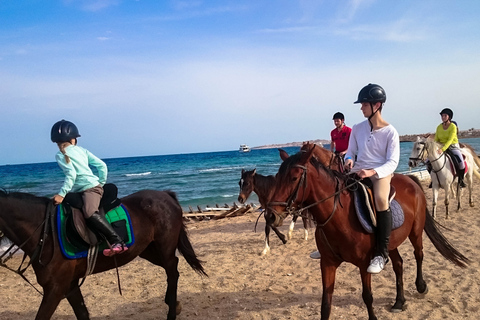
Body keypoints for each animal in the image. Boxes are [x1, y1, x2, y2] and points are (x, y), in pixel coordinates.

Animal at [266, 146, 468, 320]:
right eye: (276, 177)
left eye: (294, 178)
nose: (270, 216)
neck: (338, 216)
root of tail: (411, 180)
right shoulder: (328, 263)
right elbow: (326, 303)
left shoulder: (364, 264)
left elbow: (367, 296)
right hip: (390, 243)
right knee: (398, 264)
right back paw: (399, 301)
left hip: (416, 232)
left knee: (418, 254)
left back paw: (421, 286)